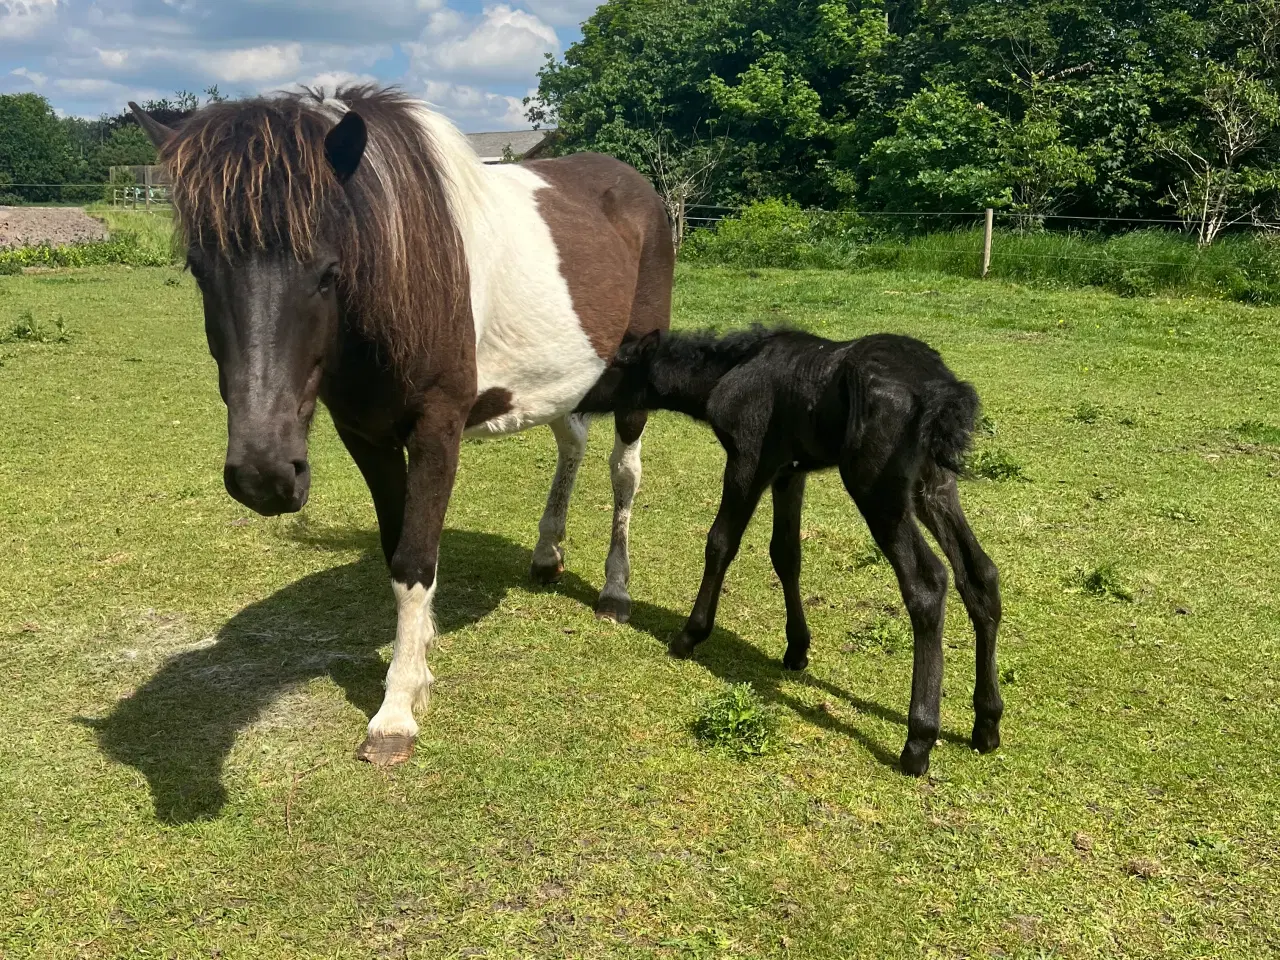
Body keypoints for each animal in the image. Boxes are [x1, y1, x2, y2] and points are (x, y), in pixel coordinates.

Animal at [132, 88, 680, 768]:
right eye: (198, 268)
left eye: (328, 272)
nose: (264, 476)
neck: (401, 275)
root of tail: (637, 188)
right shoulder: (365, 437)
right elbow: (398, 553)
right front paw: (417, 662)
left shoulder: (436, 432)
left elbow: (416, 558)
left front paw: (395, 712)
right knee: (571, 443)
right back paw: (547, 552)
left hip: (635, 376)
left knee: (624, 472)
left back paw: (615, 591)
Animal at [576, 327, 1003, 778]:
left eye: (609, 364)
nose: (574, 400)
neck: (731, 369)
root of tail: (940, 390)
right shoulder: (789, 472)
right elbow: (786, 554)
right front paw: (797, 649)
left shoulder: (749, 459)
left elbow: (720, 542)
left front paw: (689, 636)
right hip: (933, 484)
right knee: (979, 574)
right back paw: (987, 723)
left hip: (877, 489)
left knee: (927, 583)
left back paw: (919, 740)